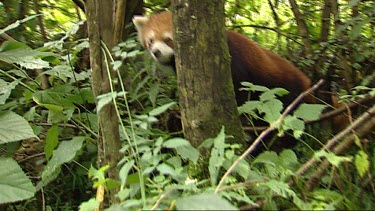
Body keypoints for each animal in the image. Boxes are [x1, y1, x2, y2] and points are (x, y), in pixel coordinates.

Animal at [133, 11, 314, 107]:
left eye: (168, 40)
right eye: (151, 41)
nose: (156, 52)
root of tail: (306, 80)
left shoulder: (236, 63)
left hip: (288, 89)